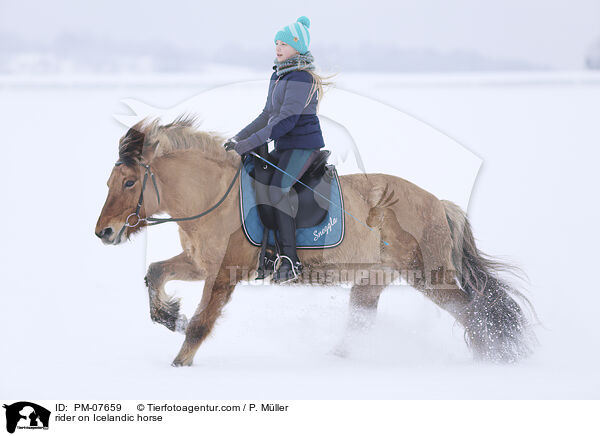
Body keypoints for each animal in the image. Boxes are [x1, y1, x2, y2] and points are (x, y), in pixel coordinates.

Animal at [96, 114, 536, 366]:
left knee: (474, 312)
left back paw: (489, 360)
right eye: (111, 181)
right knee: (361, 323)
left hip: (429, 277)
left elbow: (201, 325)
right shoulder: (198, 263)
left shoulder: (223, 273)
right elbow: (155, 273)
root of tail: (438, 203)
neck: (213, 195)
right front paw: (169, 316)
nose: (105, 232)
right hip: (371, 280)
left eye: (130, 181)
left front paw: (179, 363)